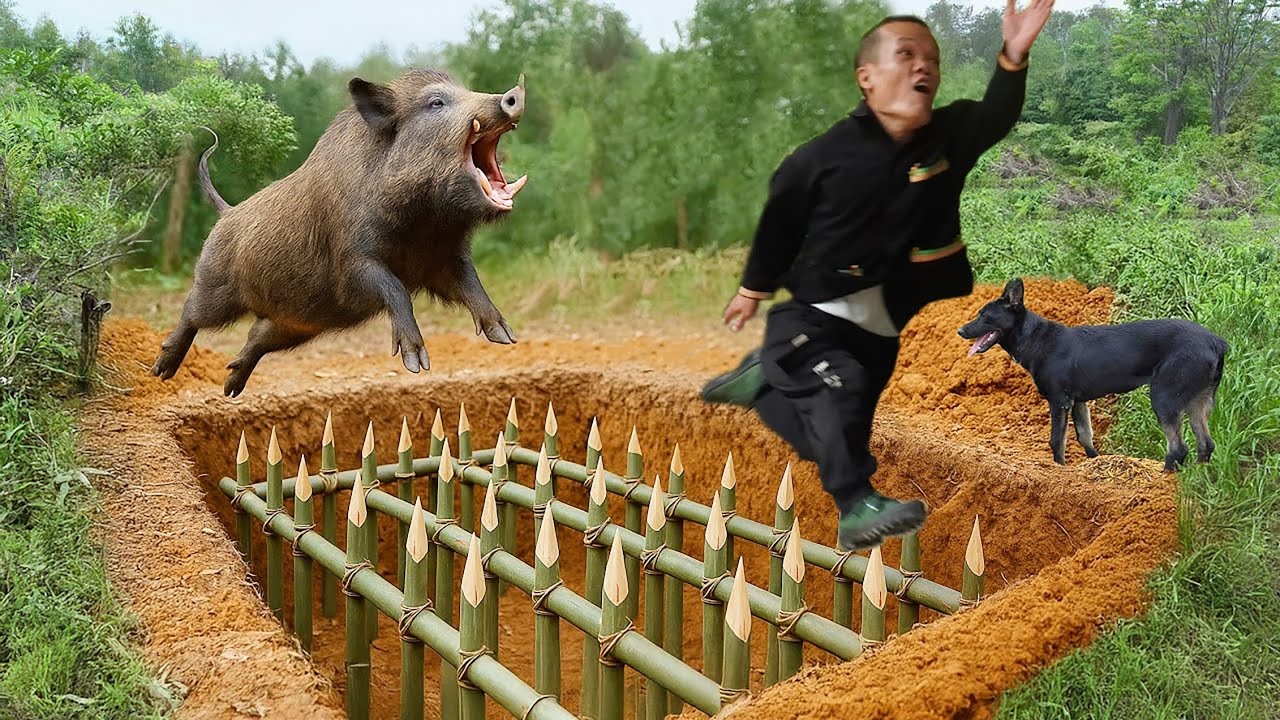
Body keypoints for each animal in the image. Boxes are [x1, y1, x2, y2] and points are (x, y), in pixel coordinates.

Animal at [150, 69, 528, 397]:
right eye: (435, 102)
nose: (515, 93)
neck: (425, 226)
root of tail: (226, 212)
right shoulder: (353, 261)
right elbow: (394, 289)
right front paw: (417, 364)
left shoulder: (447, 259)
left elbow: (473, 285)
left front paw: (506, 336)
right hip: (217, 285)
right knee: (192, 311)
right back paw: (161, 371)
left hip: (294, 324)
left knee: (257, 336)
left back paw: (231, 389)